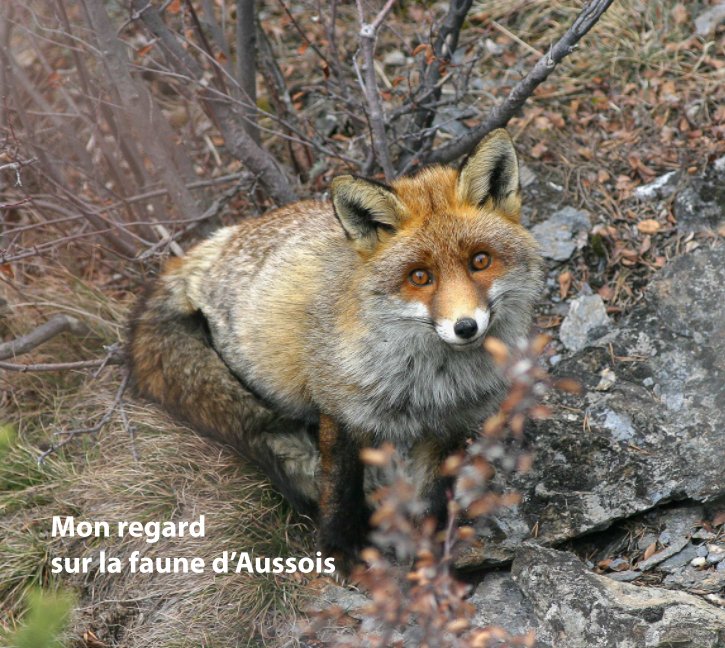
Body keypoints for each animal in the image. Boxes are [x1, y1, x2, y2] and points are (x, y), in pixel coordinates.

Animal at [127, 129, 540, 564]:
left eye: (480, 261)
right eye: (420, 277)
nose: (465, 327)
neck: (432, 385)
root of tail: (214, 244)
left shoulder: (449, 426)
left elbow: (433, 500)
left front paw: (430, 558)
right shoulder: (343, 412)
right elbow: (341, 491)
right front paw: (342, 552)